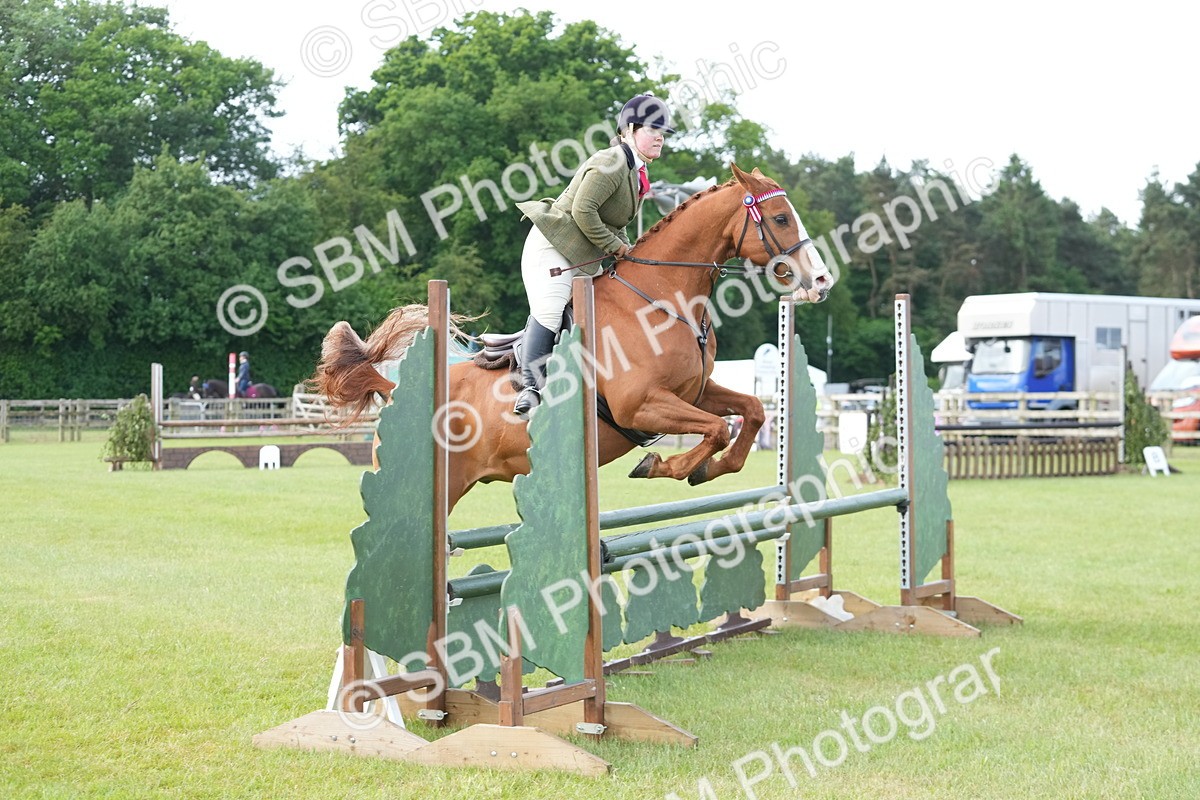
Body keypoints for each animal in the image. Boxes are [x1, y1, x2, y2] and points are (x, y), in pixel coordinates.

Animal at [312, 164, 834, 511]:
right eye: (782, 219)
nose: (823, 281)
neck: (661, 298)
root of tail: (395, 388)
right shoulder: (641, 404)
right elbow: (716, 429)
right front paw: (660, 466)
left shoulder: (693, 393)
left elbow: (750, 412)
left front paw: (709, 470)